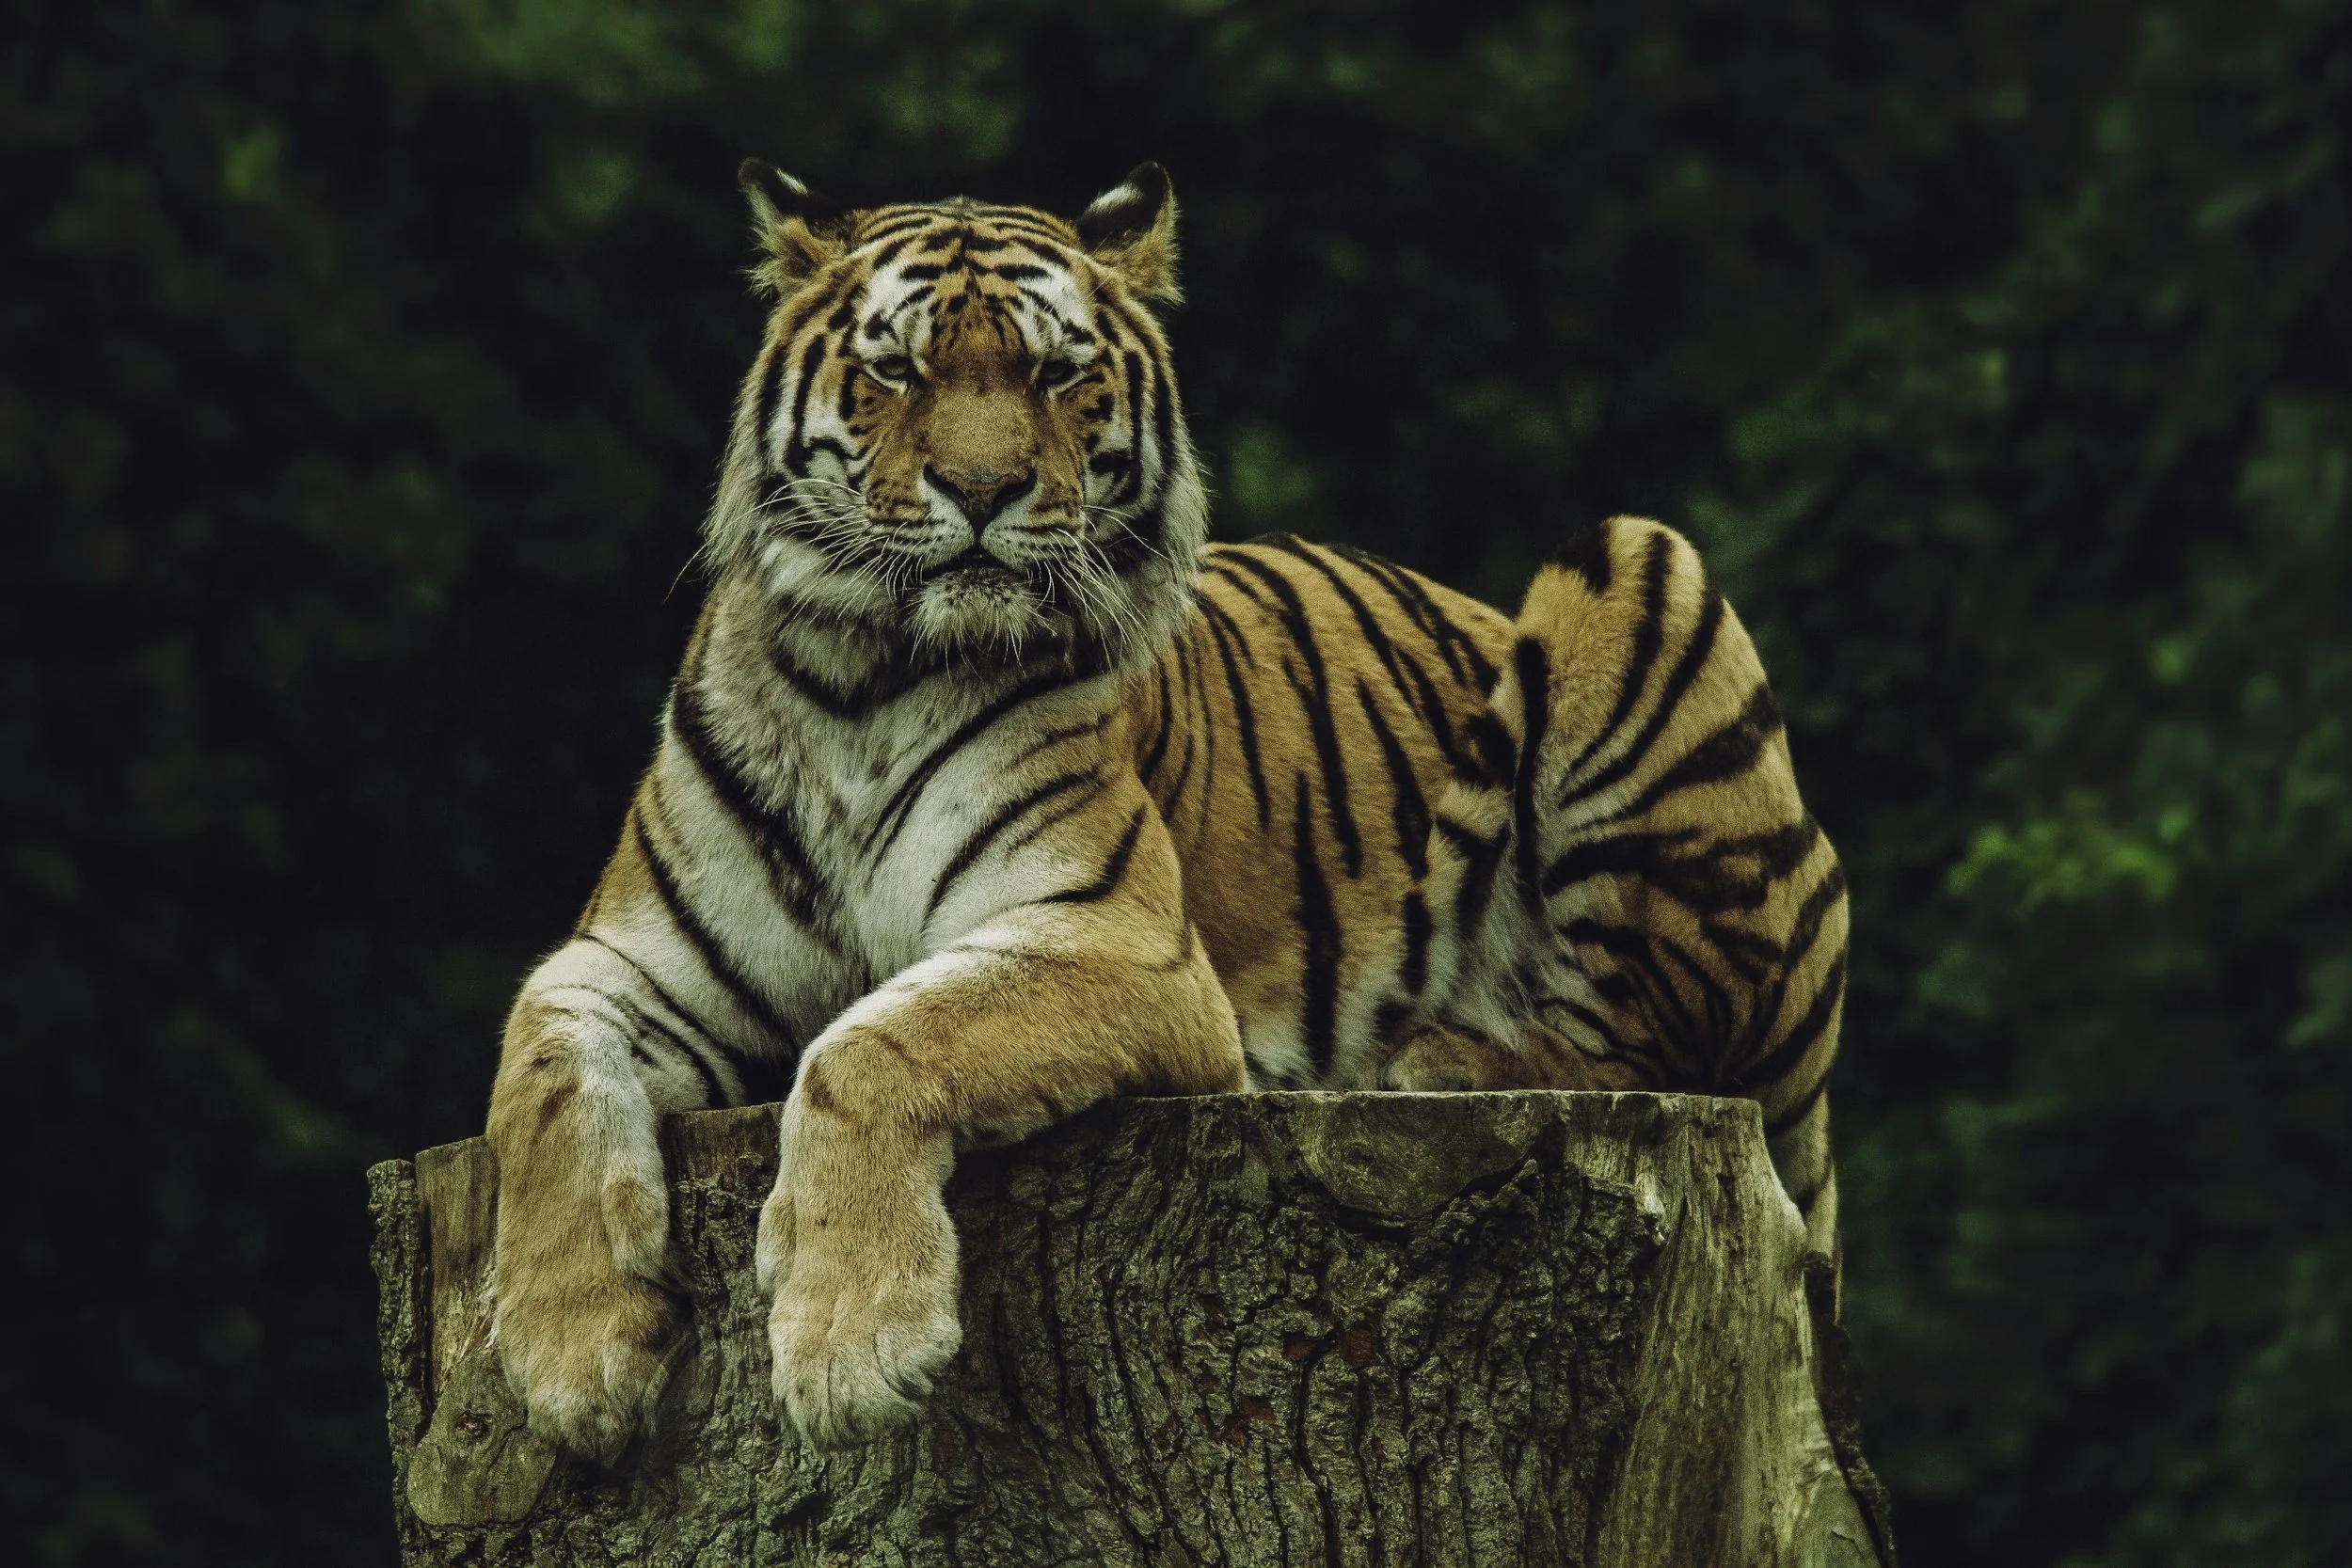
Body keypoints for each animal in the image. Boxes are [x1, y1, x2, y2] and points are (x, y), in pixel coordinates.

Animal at [484, 160, 1849, 1459]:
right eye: (896, 367)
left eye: (1057, 371)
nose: (981, 487)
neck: (858, 681)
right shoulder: (630, 958)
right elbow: (540, 1080)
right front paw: (571, 1358)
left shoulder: (1116, 939)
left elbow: (869, 1043)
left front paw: (851, 1348)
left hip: (1639, 562)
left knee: (1665, 1044)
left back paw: (1441, 1053)